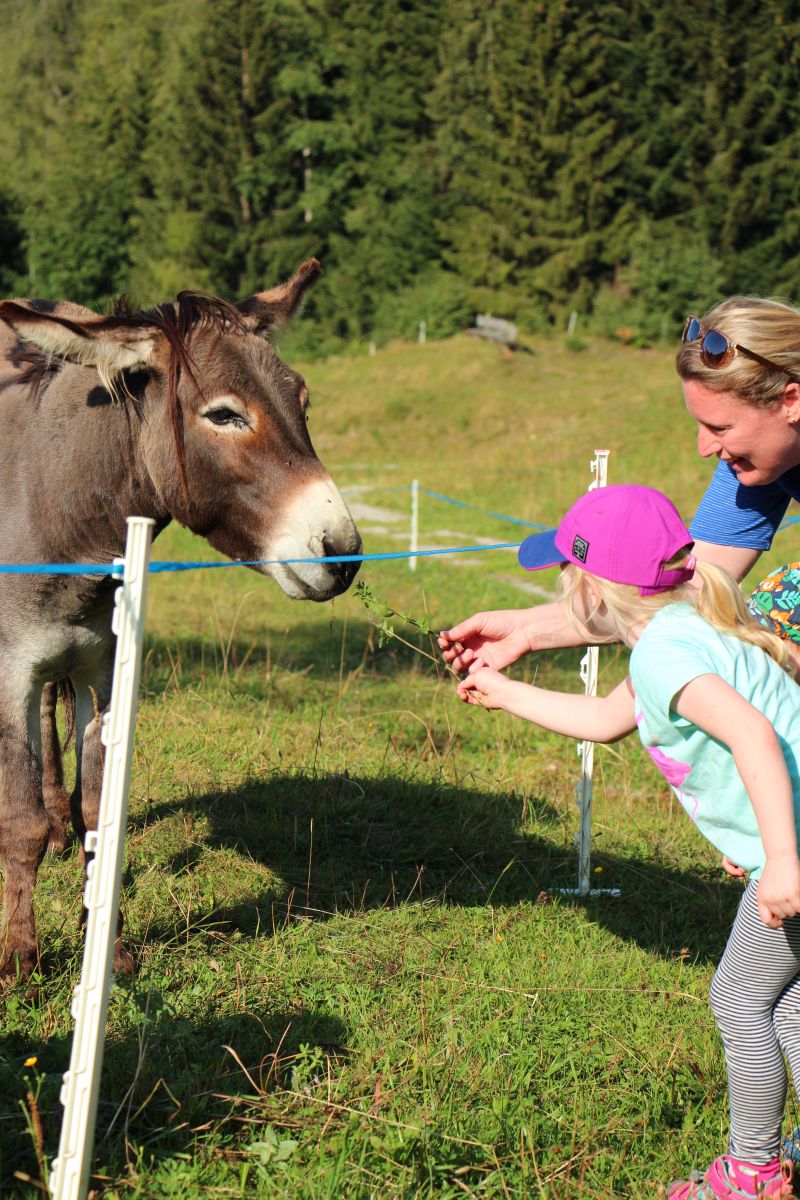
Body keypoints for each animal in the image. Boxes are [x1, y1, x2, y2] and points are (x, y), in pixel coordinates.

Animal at [0, 258, 361, 981]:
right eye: (223, 415)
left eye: (303, 404)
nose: (344, 554)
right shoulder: (10, 668)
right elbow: (19, 820)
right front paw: (21, 958)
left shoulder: (102, 667)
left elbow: (97, 811)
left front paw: (104, 949)